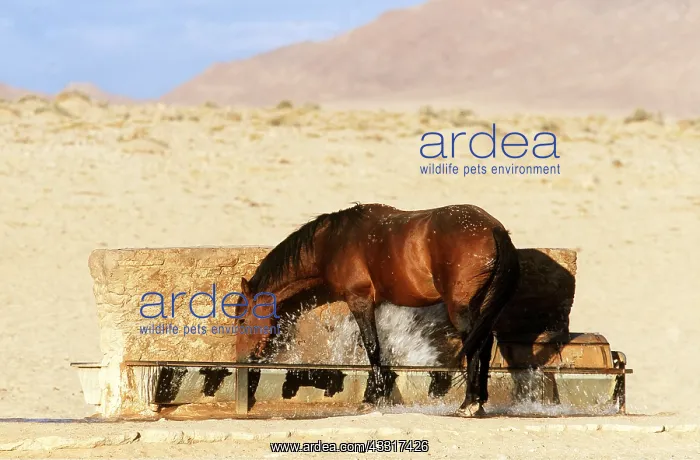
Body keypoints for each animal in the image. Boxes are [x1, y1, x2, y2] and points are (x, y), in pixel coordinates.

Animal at [232, 202, 520, 417]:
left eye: (242, 321)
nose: (242, 358)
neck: (333, 241)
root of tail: (493, 228)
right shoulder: (376, 303)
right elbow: (381, 347)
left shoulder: (359, 299)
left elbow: (371, 345)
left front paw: (373, 397)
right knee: (484, 345)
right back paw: (480, 400)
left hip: (460, 309)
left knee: (474, 345)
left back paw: (469, 403)